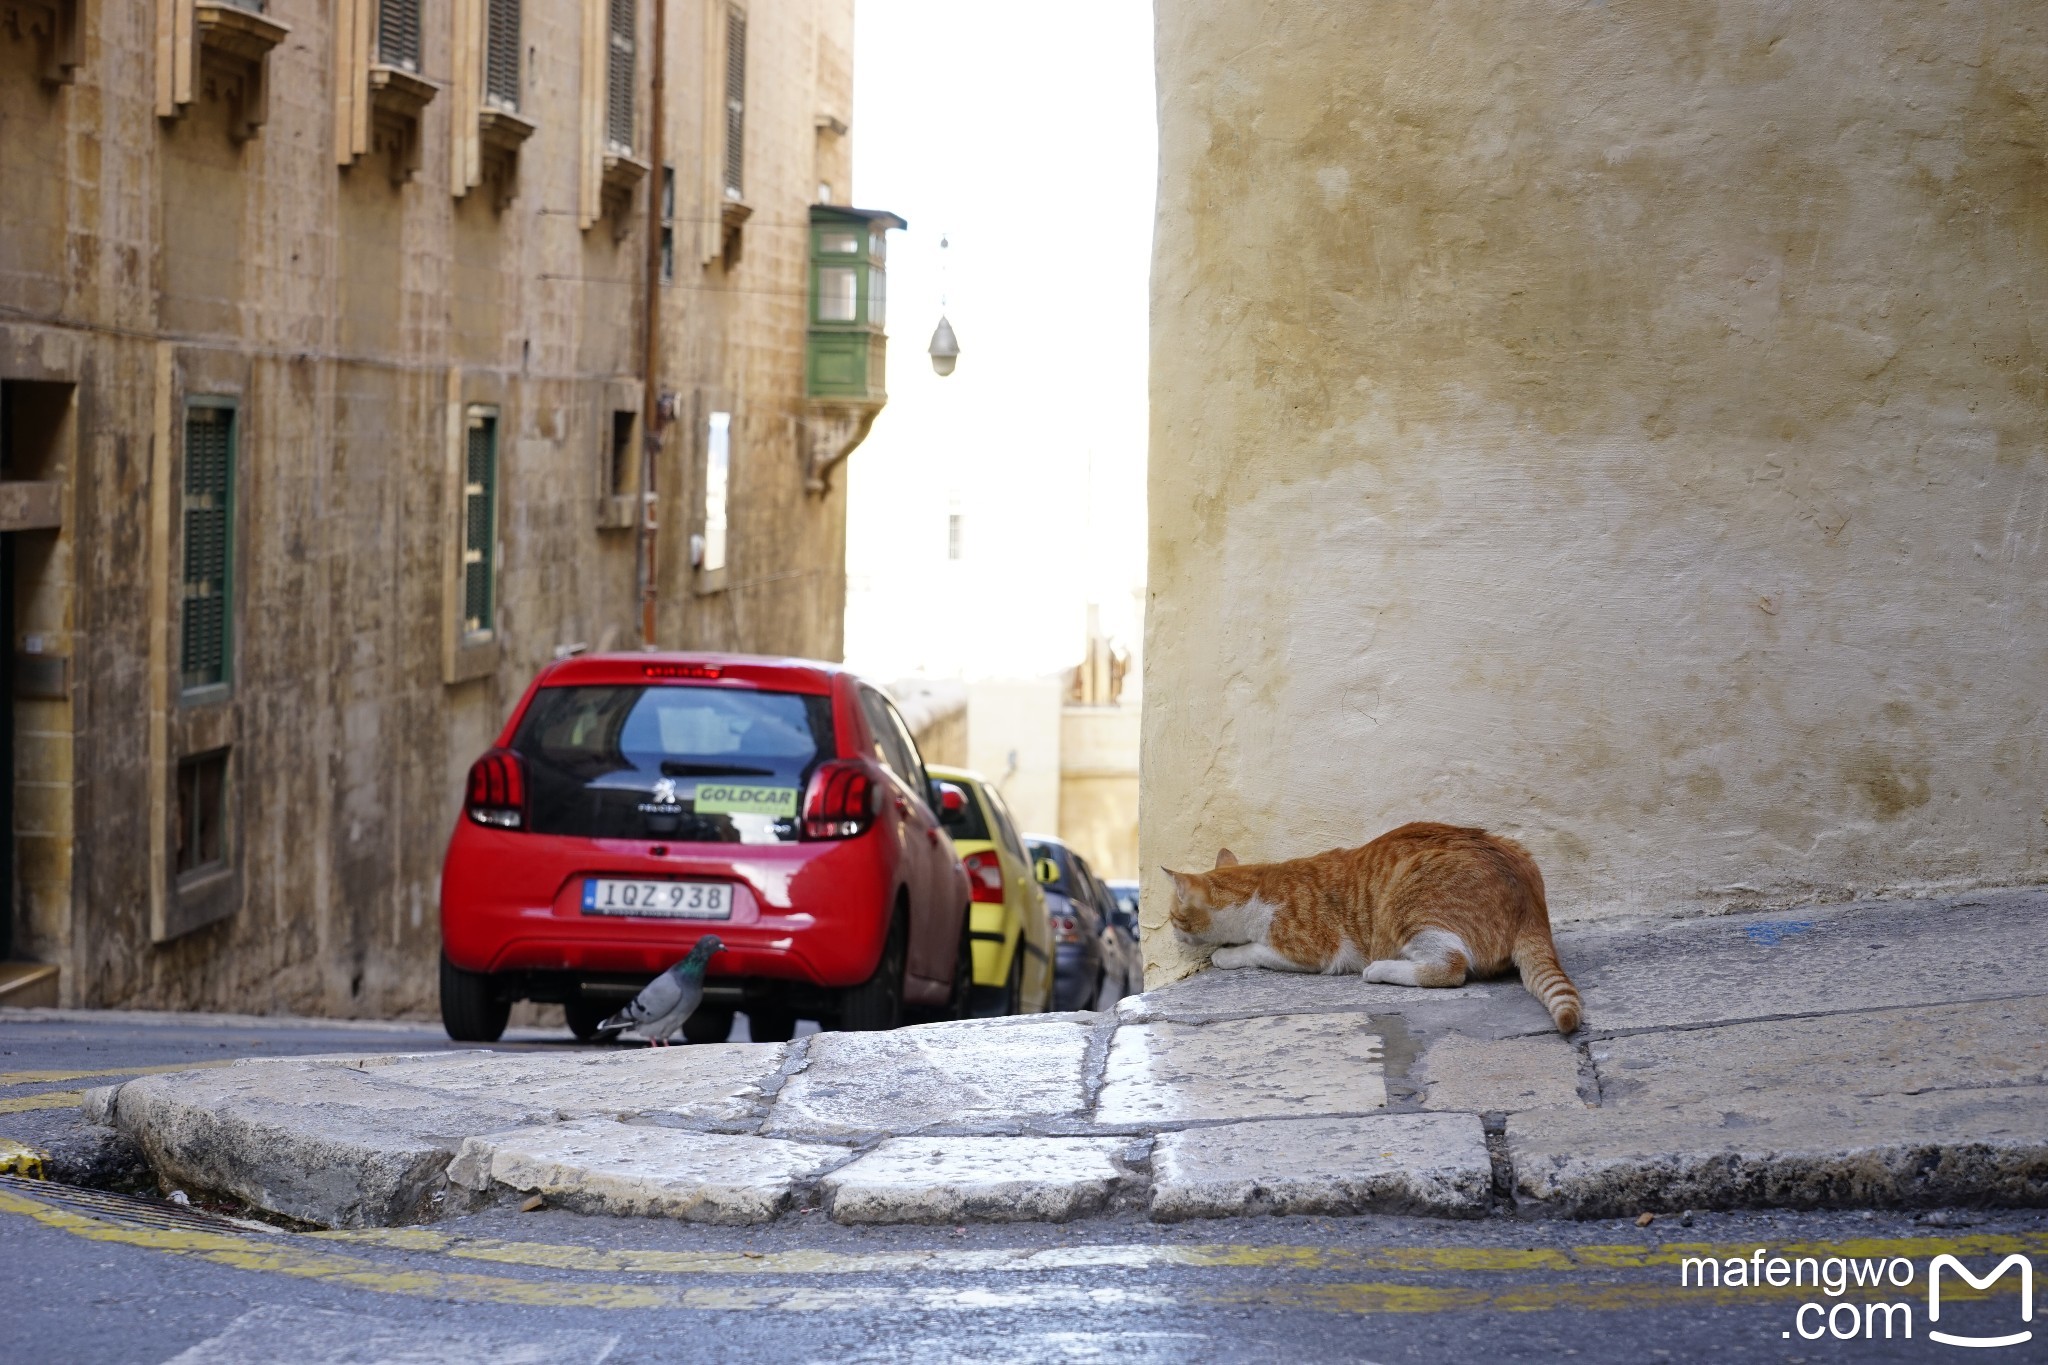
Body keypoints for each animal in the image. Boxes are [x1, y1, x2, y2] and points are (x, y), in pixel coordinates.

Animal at [1171, 822, 1581, 1035]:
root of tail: (1532, 905)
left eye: (1173, 916)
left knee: (1450, 967)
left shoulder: (1313, 951)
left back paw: (1381, 969)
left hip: (1405, 906)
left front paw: (1224, 955)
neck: (1260, 885)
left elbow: (1252, 950)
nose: (1173, 932)